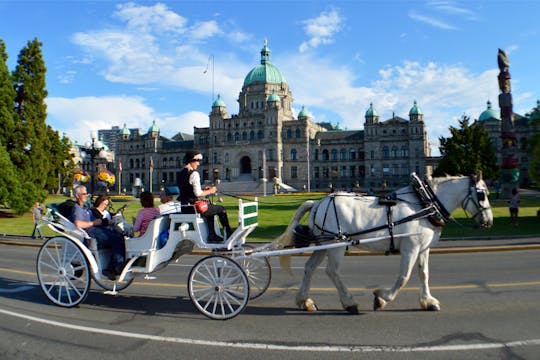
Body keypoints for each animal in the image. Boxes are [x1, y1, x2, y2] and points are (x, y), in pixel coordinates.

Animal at [274, 173, 494, 314]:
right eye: (482, 194)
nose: (489, 222)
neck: (425, 203)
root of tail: (318, 202)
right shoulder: (410, 246)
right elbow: (404, 276)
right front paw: (381, 299)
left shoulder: (423, 248)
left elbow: (424, 274)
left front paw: (428, 302)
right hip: (336, 244)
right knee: (332, 271)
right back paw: (349, 303)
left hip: (324, 243)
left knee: (310, 268)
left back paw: (305, 301)